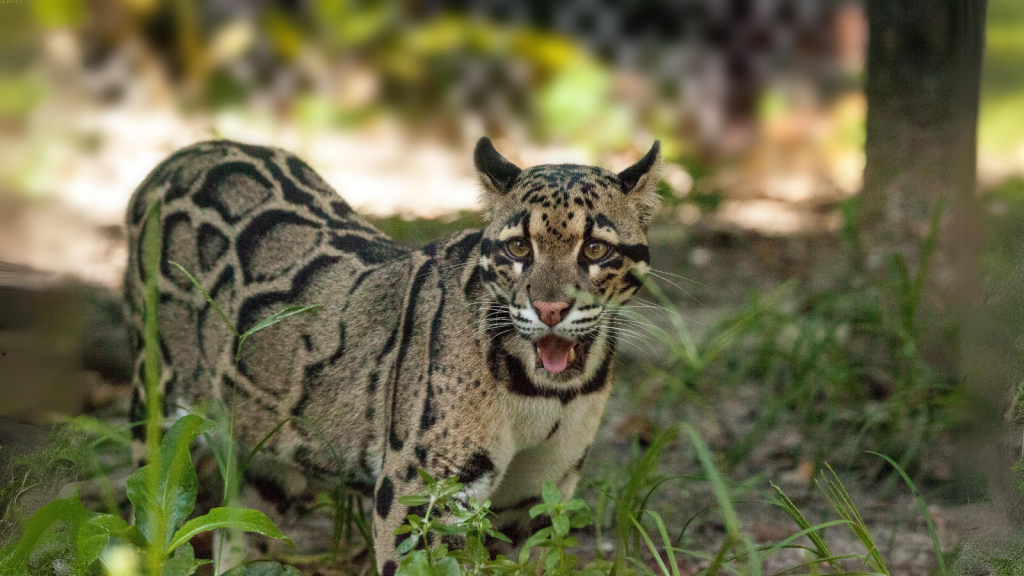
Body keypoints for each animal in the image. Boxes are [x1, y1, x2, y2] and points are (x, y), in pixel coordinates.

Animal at [123, 135, 663, 569]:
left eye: (594, 249)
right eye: (517, 249)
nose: (549, 308)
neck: (546, 392)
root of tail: (179, 158)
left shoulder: (533, 498)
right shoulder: (420, 494)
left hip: (264, 460)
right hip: (155, 416)